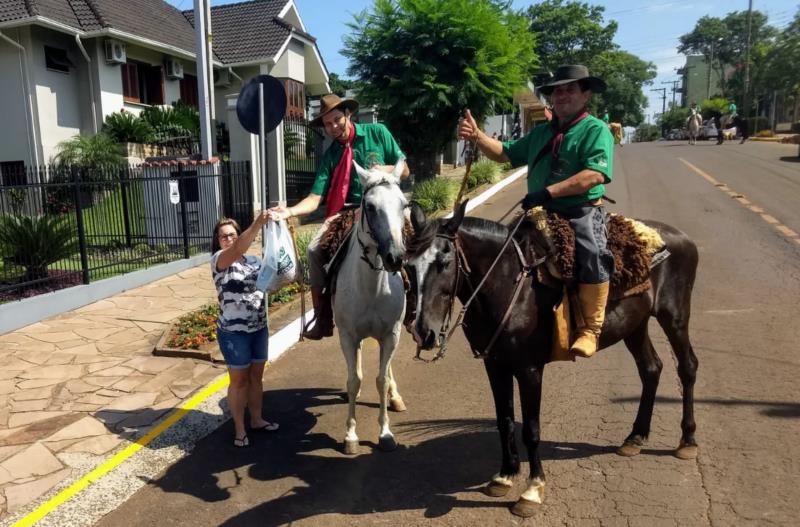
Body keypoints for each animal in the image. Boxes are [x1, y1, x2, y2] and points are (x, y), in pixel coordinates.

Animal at [406, 200, 700, 516]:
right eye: (408, 266)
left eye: (445, 262)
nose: (422, 332)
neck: (509, 285)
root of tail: (681, 237)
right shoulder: (495, 365)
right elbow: (504, 421)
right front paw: (505, 475)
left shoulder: (529, 369)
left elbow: (531, 430)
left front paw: (533, 490)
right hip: (635, 325)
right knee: (651, 369)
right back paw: (635, 437)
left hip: (674, 317)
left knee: (687, 367)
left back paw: (687, 440)